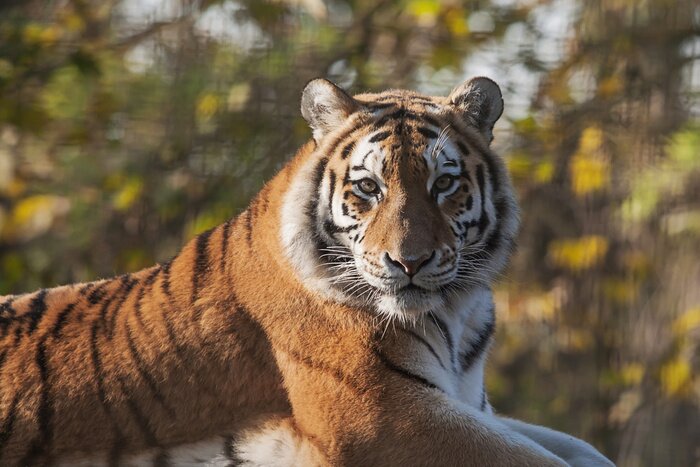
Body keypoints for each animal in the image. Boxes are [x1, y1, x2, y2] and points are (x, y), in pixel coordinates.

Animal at [0, 77, 614, 466]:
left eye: (444, 183)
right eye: (368, 187)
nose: (409, 262)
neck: (456, 311)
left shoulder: (467, 404)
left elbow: (580, 448)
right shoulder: (385, 417)